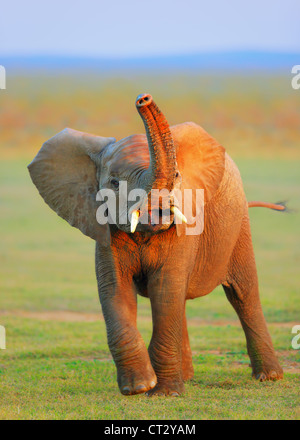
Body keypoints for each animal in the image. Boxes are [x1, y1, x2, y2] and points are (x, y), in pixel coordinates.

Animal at [27, 94, 284, 398]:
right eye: (114, 183)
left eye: (177, 176)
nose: (143, 99)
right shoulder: (104, 229)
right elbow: (115, 289)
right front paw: (138, 387)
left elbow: (165, 287)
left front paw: (164, 394)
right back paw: (188, 377)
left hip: (239, 226)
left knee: (243, 295)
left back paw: (269, 377)